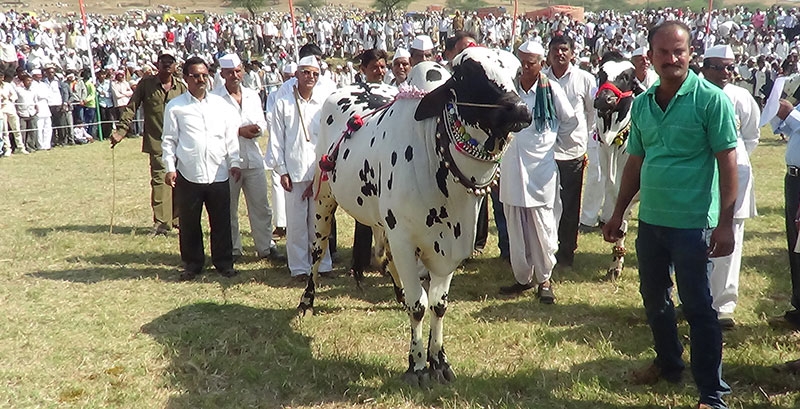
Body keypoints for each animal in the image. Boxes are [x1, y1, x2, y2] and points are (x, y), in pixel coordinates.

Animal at [298, 47, 531, 387]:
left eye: (517, 73)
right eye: (468, 75)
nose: (520, 110)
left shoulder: (448, 248)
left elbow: (437, 304)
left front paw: (439, 360)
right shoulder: (406, 241)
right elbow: (420, 306)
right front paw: (418, 365)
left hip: (381, 220)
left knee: (389, 262)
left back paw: (398, 294)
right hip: (324, 198)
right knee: (316, 253)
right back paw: (307, 301)